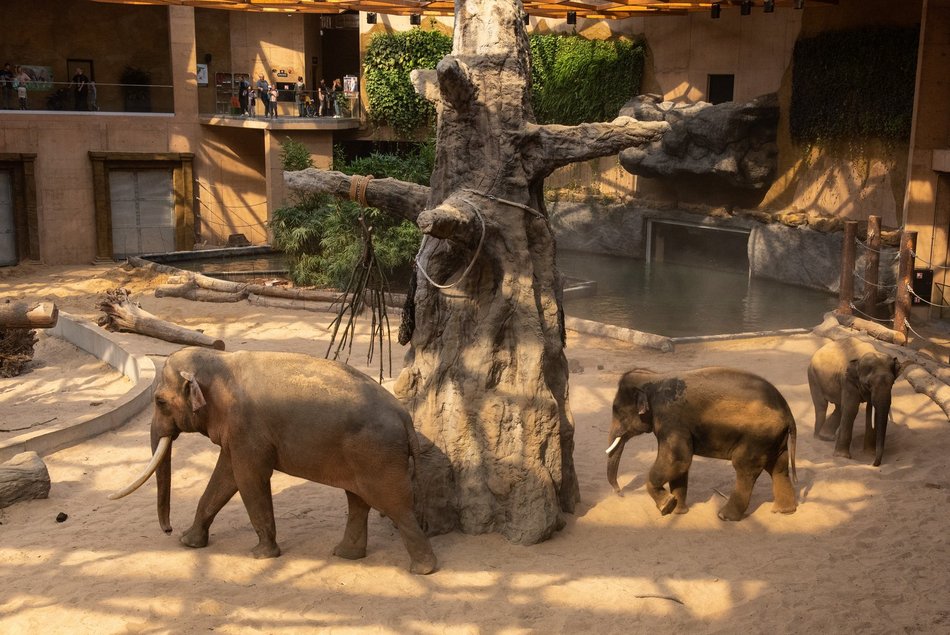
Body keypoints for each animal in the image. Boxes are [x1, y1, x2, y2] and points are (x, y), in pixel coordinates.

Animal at [109, 348, 436, 576]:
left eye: (160, 402)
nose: (168, 530)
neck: (220, 362)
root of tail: (405, 417)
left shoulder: (247, 429)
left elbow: (248, 479)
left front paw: (260, 554)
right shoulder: (236, 433)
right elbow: (225, 477)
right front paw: (188, 543)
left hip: (377, 455)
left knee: (395, 506)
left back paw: (424, 570)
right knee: (358, 500)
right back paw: (345, 554)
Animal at [608, 368, 800, 520]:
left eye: (618, 413)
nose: (620, 493)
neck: (654, 378)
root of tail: (787, 410)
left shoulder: (671, 420)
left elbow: (677, 459)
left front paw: (666, 506)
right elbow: (680, 464)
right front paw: (678, 511)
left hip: (757, 437)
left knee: (745, 468)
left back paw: (724, 516)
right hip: (773, 438)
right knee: (778, 466)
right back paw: (784, 511)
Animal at [812, 338, 908, 468]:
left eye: (892, 383)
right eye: (868, 384)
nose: (874, 464)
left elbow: (871, 410)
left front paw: (869, 453)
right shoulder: (847, 380)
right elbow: (851, 408)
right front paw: (842, 457)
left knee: (839, 407)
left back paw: (826, 437)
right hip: (813, 377)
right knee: (822, 406)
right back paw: (818, 437)